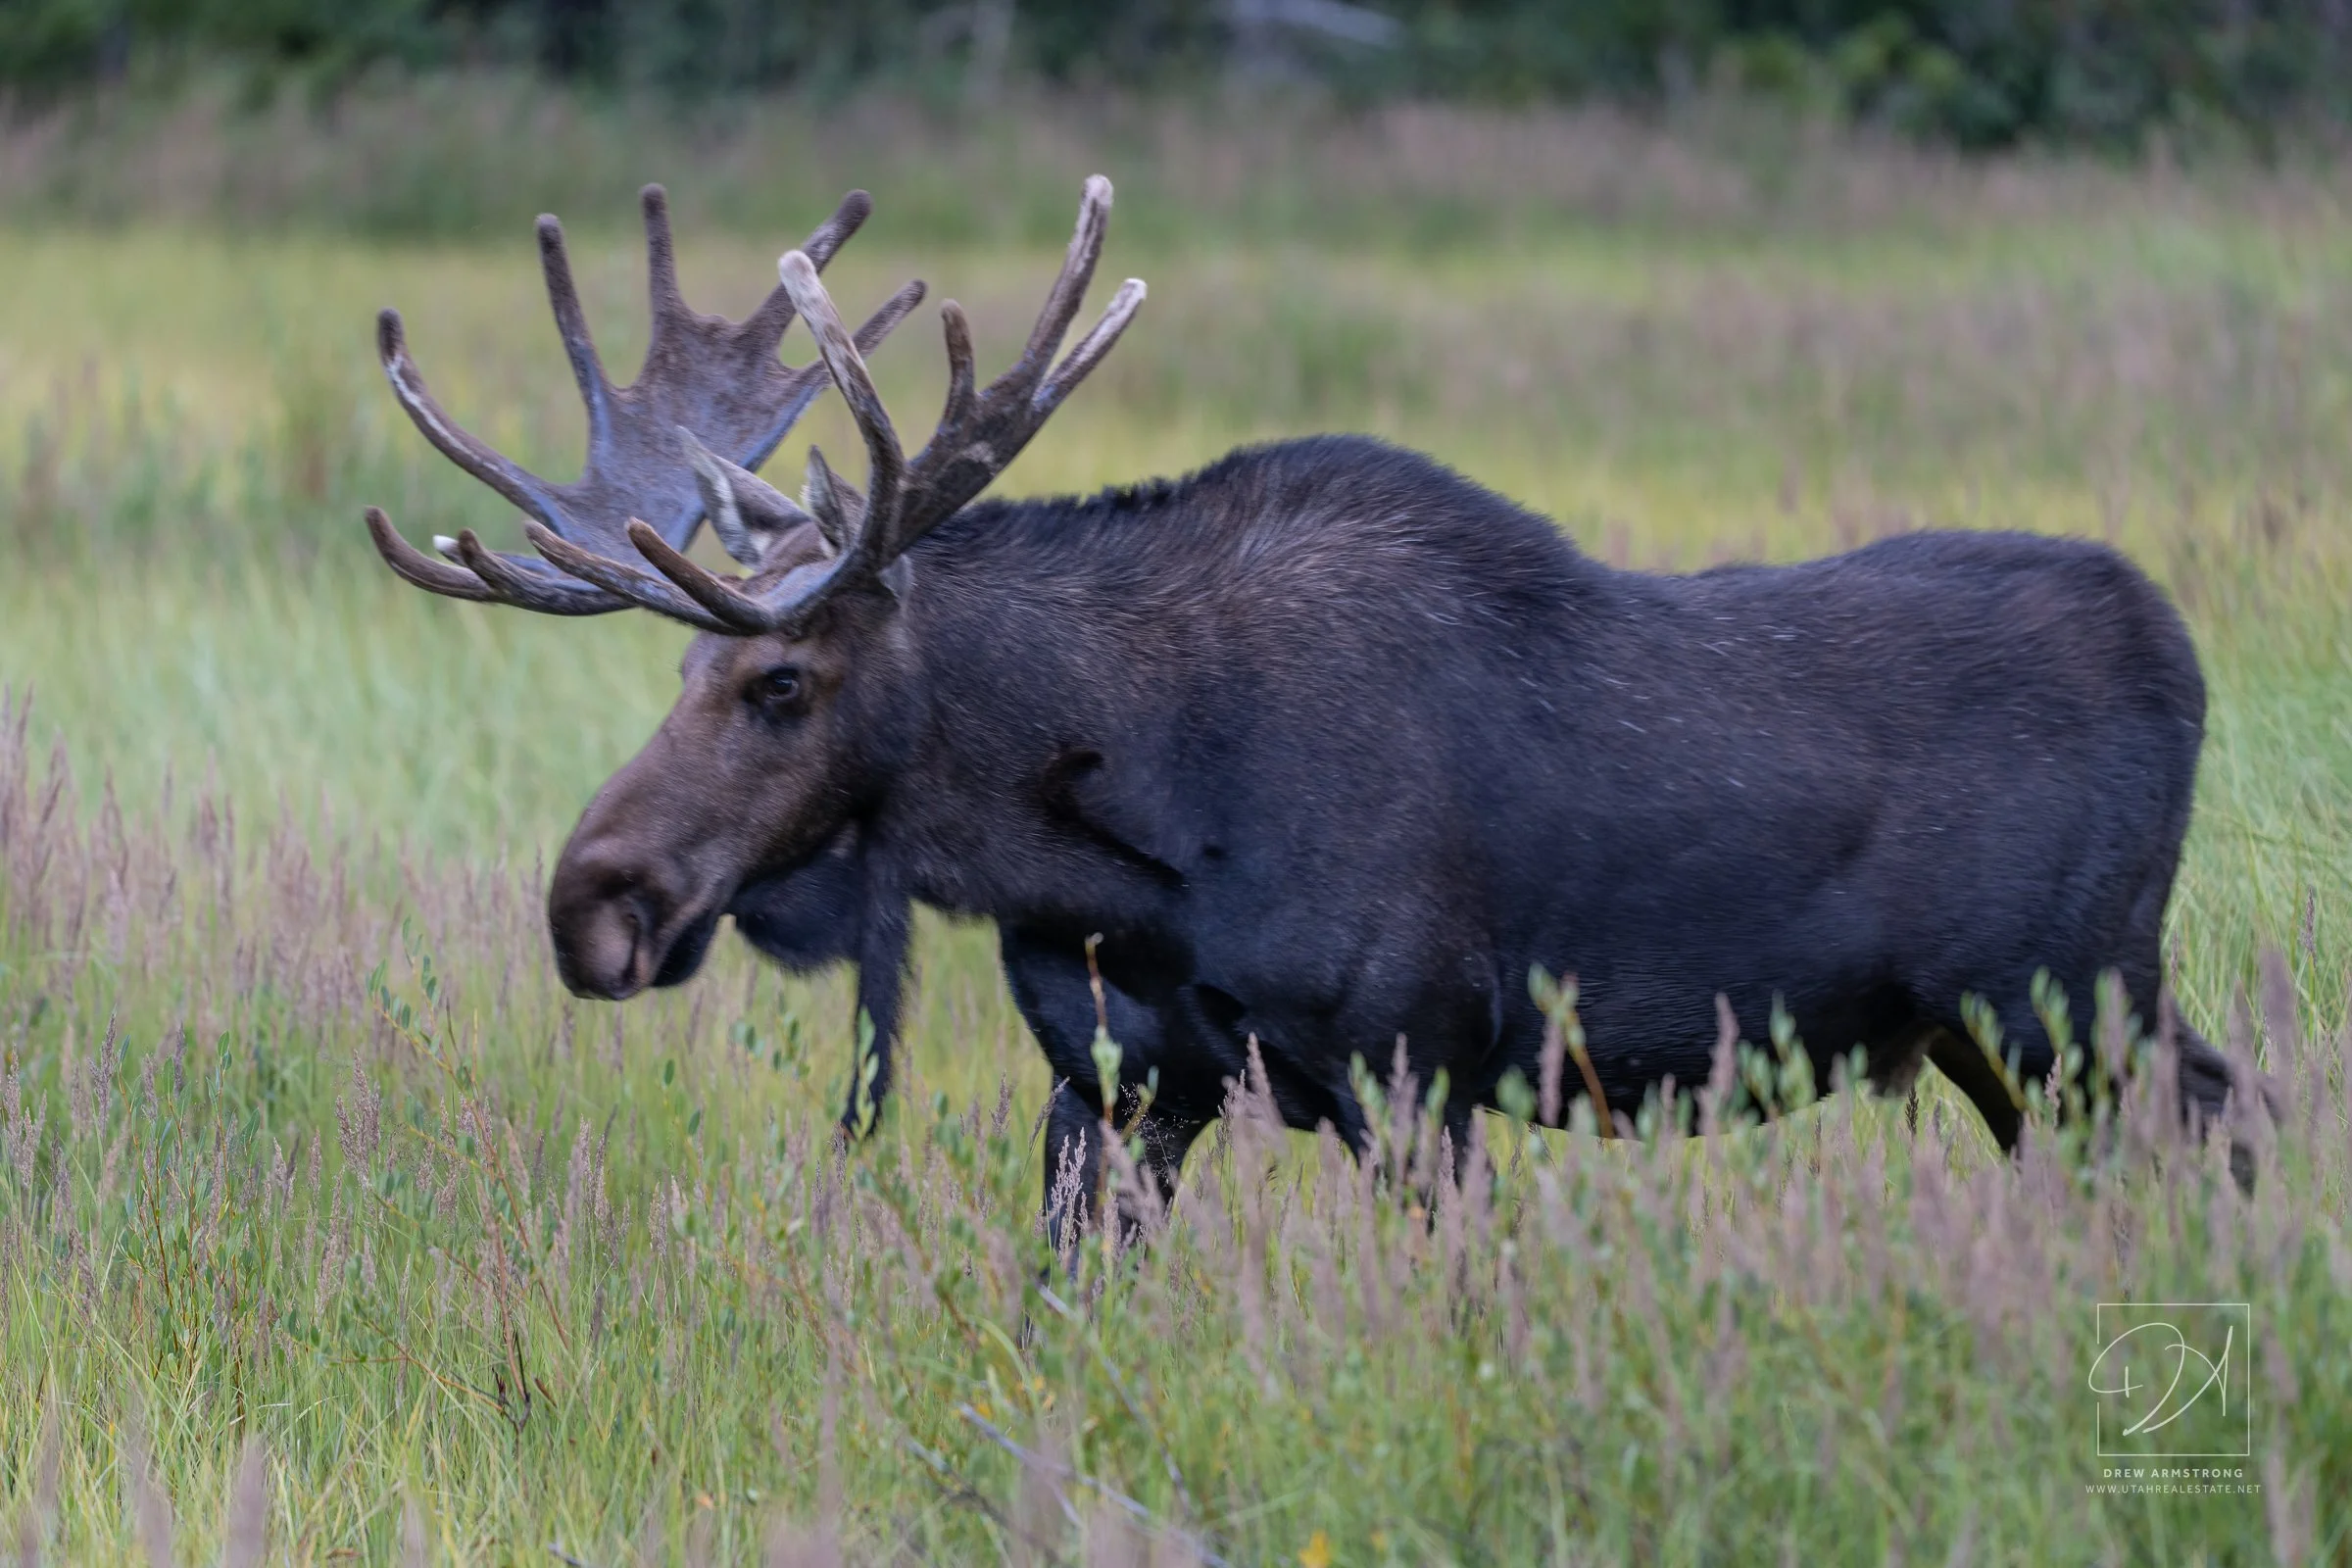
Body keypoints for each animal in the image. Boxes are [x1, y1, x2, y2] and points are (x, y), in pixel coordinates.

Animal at [367, 175, 2258, 1240]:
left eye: (780, 677)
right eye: (677, 669)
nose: (592, 905)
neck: (1120, 853)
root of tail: (2181, 649)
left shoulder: (1420, 1070)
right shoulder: (1120, 1086)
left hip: (2070, 992)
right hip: (2012, 1026)